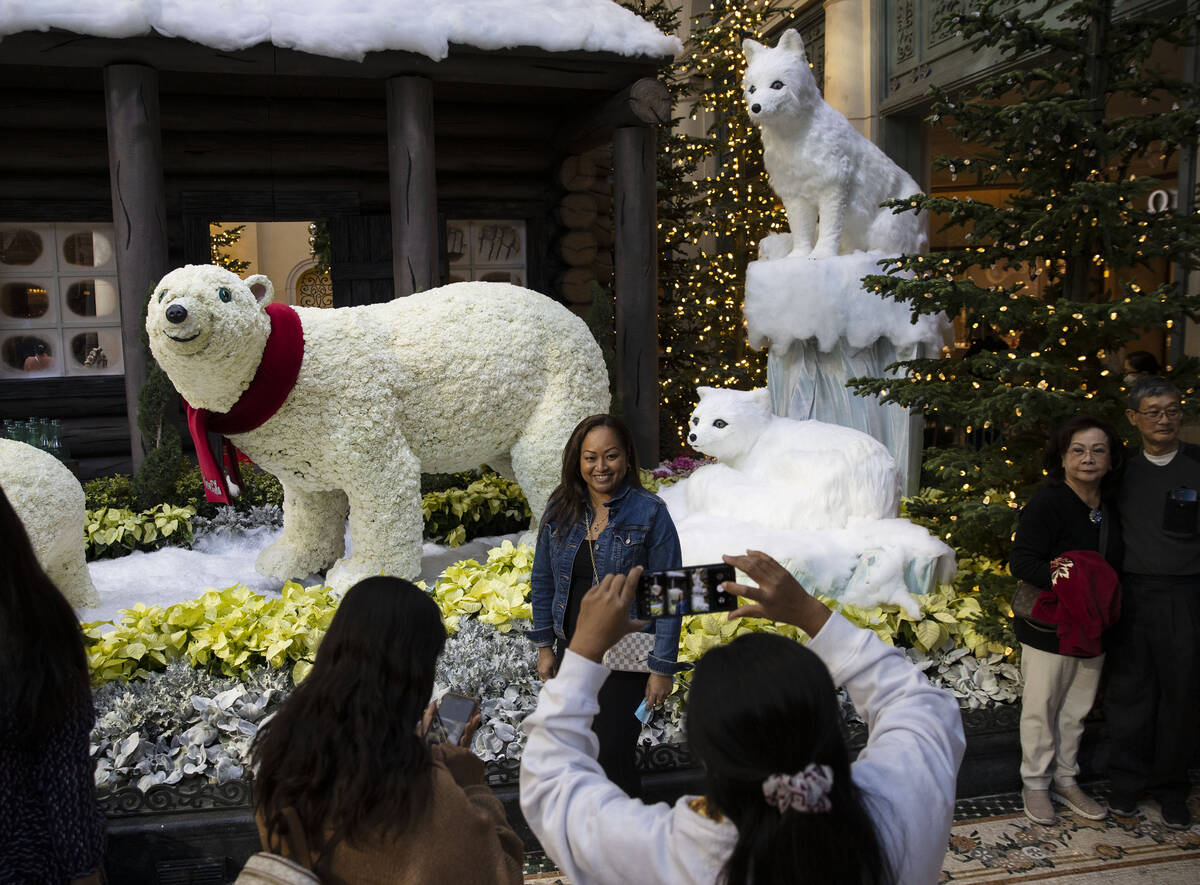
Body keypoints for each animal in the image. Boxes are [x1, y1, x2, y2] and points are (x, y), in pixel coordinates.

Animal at [146, 265, 609, 590]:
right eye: (163, 293)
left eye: (224, 294)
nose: (177, 312)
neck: (286, 369)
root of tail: (579, 322)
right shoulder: (300, 438)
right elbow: (311, 498)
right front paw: (286, 560)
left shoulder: (351, 405)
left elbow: (382, 480)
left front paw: (359, 572)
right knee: (514, 460)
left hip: (561, 378)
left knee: (546, 457)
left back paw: (541, 545)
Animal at [739, 29, 926, 256]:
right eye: (752, 89)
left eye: (777, 85)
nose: (755, 107)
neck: (793, 139)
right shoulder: (795, 194)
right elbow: (801, 231)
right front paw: (798, 257)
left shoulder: (833, 184)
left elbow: (830, 227)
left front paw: (821, 255)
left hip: (889, 225)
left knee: (896, 254)